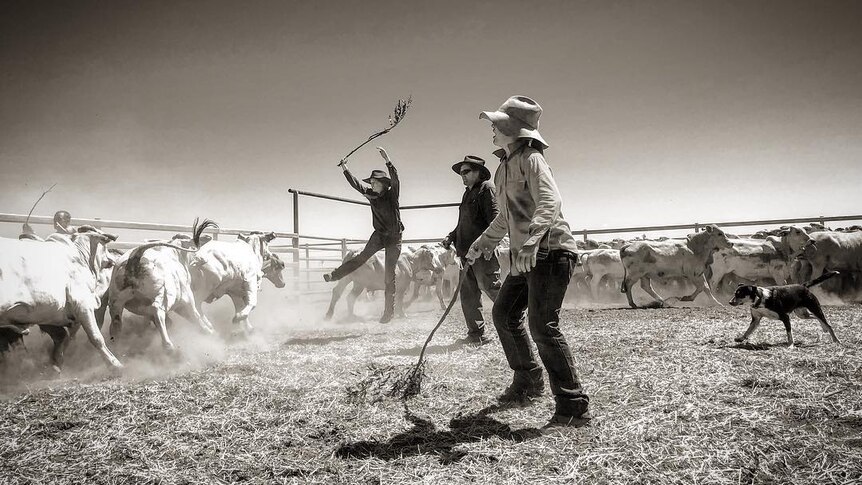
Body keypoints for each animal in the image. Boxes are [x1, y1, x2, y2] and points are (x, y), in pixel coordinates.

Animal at [0, 225, 123, 368]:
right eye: (105, 245)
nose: (113, 259)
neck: (80, 256)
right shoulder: (82, 304)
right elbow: (96, 337)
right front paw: (115, 364)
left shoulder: (49, 314)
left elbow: (62, 337)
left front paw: (56, 364)